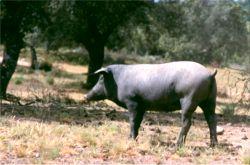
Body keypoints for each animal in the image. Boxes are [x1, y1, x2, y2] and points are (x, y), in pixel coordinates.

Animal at [85, 61, 218, 146]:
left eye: (101, 79)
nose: (85, 96)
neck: (118, 80)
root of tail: (210, 74)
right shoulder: (142, 106)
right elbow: (138, 122)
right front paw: (133, 139)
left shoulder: (132, 101)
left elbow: (132, 121)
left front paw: (130, 140)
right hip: (210, 100)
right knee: (211, 120)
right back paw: (213, 145)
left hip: (189, 99)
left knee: (187, 122)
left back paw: (177, 145)